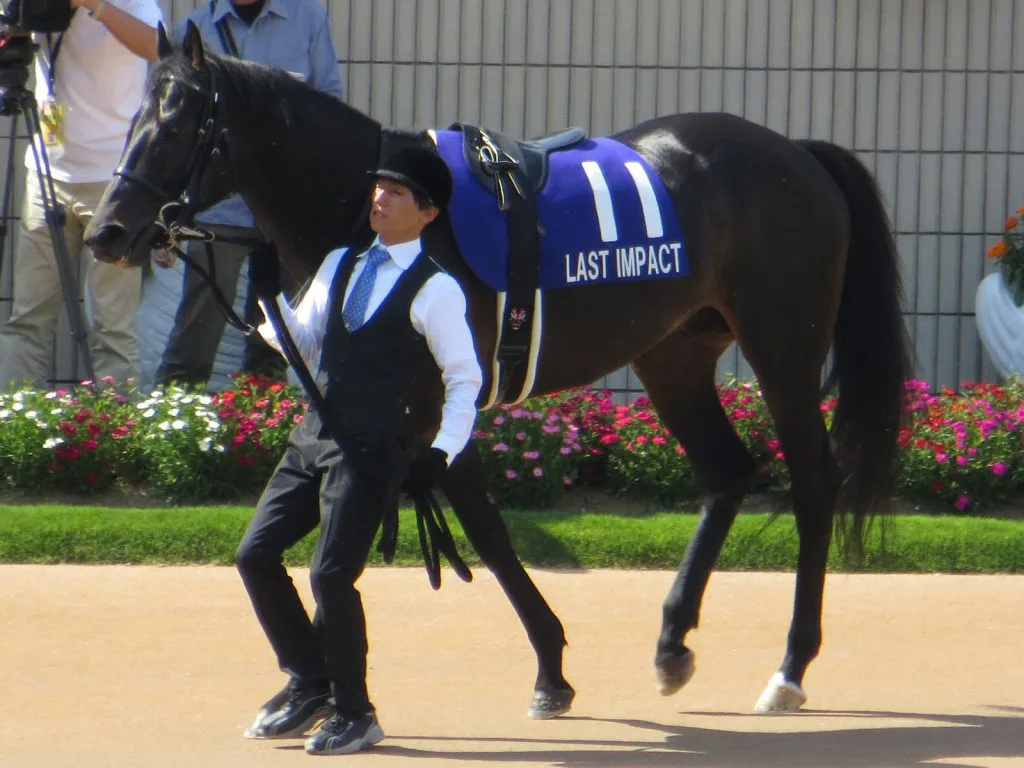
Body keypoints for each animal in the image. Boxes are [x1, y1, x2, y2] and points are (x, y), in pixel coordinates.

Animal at [84, 24, 910, 716]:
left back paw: (790, 668)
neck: (379, 212)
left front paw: (549, 669)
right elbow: (466, 524)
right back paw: (673, 643)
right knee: (728, 473)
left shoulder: (437, 402)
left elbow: (481, 527)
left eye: (178, 122)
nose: (108, 232)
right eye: (134, 118)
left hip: (785, 349)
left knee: (814, 486)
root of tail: (796, 153)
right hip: (673, 353)